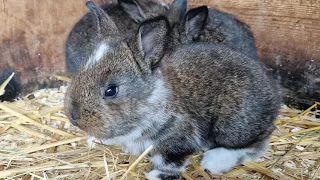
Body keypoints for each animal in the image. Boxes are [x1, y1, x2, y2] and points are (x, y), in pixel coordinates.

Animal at [64, 1, 280, 179]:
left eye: (111, 90)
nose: (73, 116)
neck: (152, 96)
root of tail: (274, 99)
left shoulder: (179, 138)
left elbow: (170, 162)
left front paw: (155, 176)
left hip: (232, 124)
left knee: (255, 144)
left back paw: (213, 161)